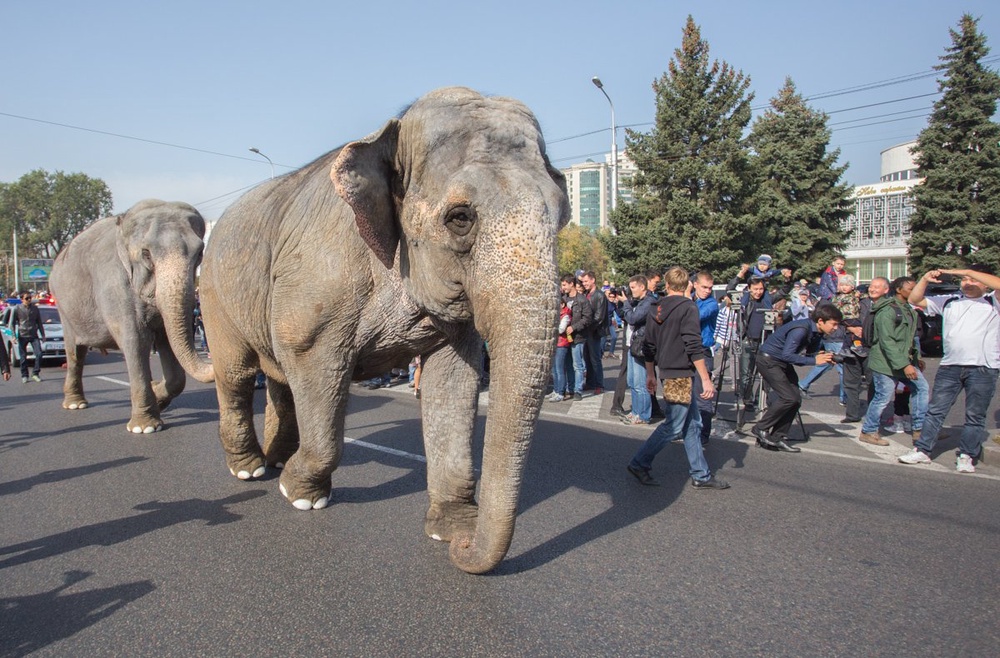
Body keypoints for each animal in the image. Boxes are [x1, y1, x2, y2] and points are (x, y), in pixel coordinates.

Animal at [50, 199, 215, 430]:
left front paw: (157, 395)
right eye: (146, 254)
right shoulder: (113, 283)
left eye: (199, 253)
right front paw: (144, 427)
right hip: (63, 307)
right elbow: (136, 340)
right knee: (75, 351)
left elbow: (167, 340)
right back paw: (75, 404)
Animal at [199, 86, 568, 568]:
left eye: (560, 215)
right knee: (239, 374)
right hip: (216, 296)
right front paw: (301, 495)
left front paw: (449, 529)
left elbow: (453, 379)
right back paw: (251, 469)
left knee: (277, 377)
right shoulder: (320, 280)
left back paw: (276, 460)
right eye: (460, 218)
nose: (464, 552)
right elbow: (315, 364)